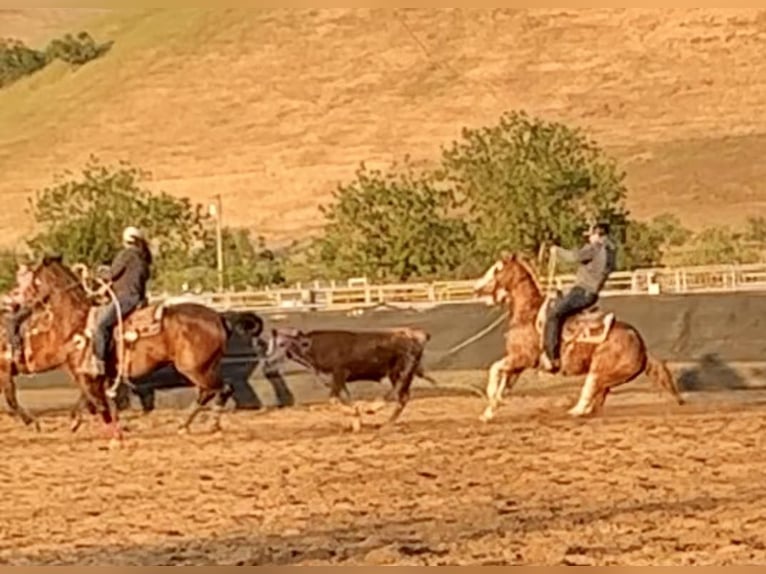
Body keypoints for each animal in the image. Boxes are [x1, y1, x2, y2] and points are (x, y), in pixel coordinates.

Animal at [268, 328, 436, 424]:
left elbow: (333, 399)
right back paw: (387, 424)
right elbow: (347, 398)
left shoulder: (339, 372)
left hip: (402, 368)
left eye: (282, 344)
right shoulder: (337, 379)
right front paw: (356, 418)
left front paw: (355, 413)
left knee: (398, 391)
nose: (268, 360)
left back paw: (374, 407)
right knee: (403, 397)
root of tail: (416, 335)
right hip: (403, 371)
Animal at [474, 253, 684, 424]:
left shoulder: (523, 358)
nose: (476, 288)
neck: (528, 314)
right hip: (608, 377)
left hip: (600, 369)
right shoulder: (517, 364)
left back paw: (574, 411)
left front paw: (491, 396)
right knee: (597, 399)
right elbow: (504, 384)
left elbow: (494, 369)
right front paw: (488, 413)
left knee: (590, 390)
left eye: (497, 269)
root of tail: (643, 348)